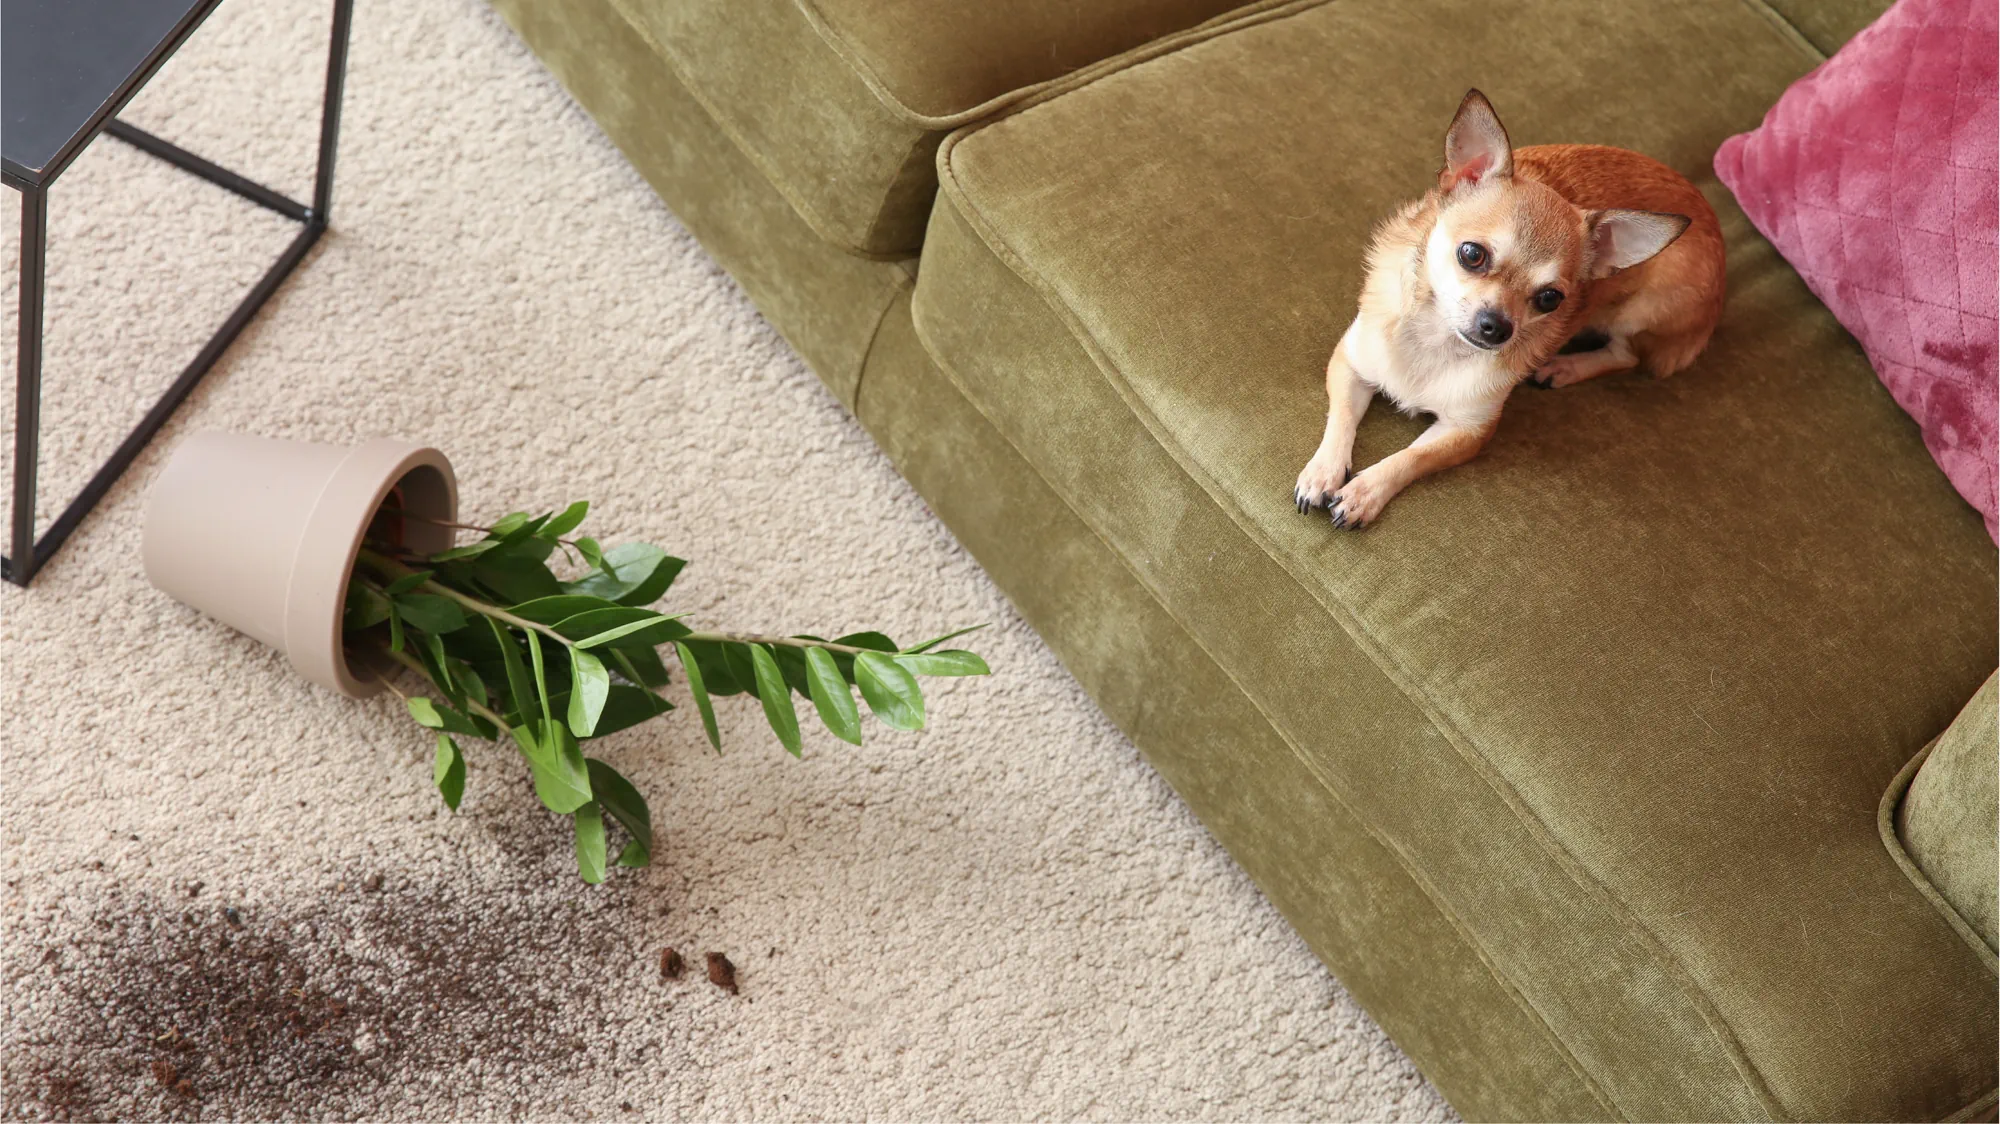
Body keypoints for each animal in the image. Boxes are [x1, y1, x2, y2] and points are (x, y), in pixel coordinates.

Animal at [1296, 89, 1720, 528]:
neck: (1436, 340)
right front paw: (1324, 470)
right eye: (1471, 254)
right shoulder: (1351, 364)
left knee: (1627, 355)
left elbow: (1410, 458)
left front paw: (1365, 491)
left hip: (1641, 307)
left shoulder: (1466, 432)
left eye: (1550, 298)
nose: (1497, 327)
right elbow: (1341, 418)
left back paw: (1566, 367)